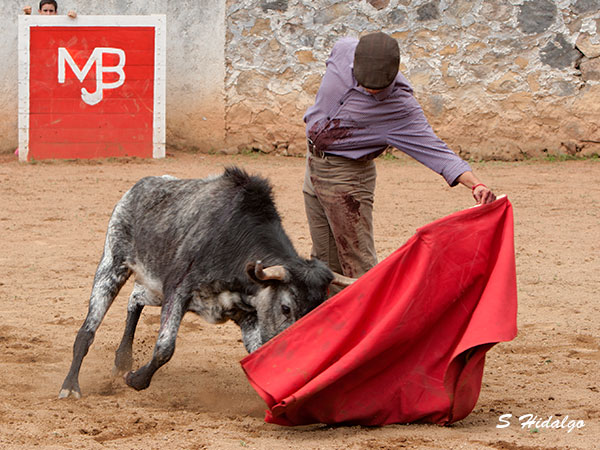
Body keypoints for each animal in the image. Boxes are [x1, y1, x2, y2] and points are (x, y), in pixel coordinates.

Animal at [59, 167, 352, 400]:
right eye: (286, 308)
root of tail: (139, 186)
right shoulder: (177, 291)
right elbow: (165, 348)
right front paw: (135, 379)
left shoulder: (248, 314)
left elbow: (258, 355)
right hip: (113, 263)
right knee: (88, 331)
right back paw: (71, 386)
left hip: (153, 286)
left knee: (135, 298)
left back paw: (122, 360)